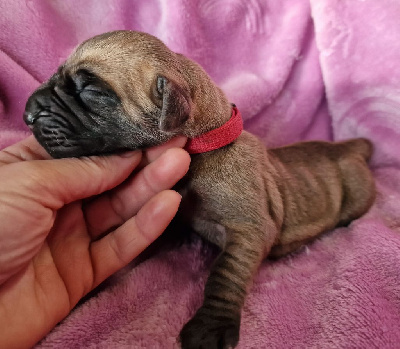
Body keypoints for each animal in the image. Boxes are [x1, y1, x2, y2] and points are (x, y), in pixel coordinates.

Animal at [24, 30, 376, 348]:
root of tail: (350, 146)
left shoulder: (249, 229)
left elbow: (226, 273)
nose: (27, 113)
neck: (202, 145)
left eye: (91, 89)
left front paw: (211, 326)